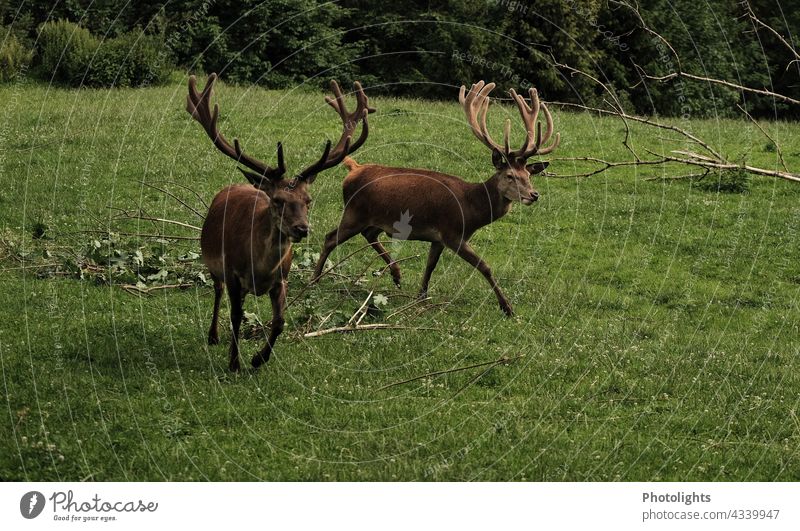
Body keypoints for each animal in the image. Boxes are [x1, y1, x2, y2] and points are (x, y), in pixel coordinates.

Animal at [189, 75, 374, 372]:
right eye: (277, 200)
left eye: (308, 200)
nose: (301, 228)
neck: (260, 269)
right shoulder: (233, 273)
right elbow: (236, 317)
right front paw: (234, 363)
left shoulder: (282, 279)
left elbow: (279, 322)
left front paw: (258, 358)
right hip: (214, 261)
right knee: (217, 291)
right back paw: (213, 335)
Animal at [310, 81, 560, 316]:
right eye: (510, 176)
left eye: (528, 175)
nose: (534, 194)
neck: (471, 209)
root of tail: (354, 168)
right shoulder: (453, 233)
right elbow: (484, 266)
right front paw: (507, 307)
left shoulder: (438, 238)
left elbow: (430, 265)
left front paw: (421, 296)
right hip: (353, 212)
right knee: (330, 238)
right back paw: (314, 279)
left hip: (373, 218)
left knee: (369, 234)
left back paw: (396, 275)